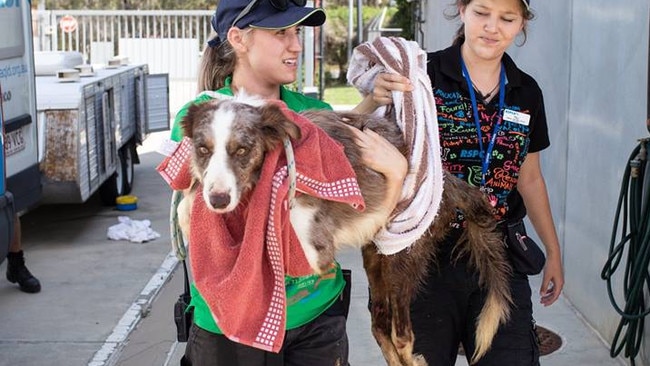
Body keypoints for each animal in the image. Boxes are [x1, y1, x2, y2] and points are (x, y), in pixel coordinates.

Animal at [177, 96, 512, 366]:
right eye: (202, 149)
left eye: (242, 150)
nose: (218, 200)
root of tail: (448, 181)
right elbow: (185, 207)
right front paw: (191, 207)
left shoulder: (315, 245)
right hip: (376, 261)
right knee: (381, 326)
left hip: (403, 256)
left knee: (402, 335)